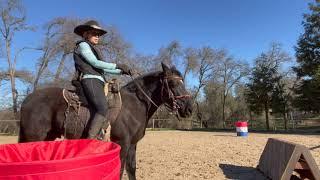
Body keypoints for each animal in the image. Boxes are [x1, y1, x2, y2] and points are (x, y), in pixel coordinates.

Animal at [19, 63, 192, 179]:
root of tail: (27, 100)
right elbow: (120, 169)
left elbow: (131, 169)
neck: (134, 104)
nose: (189, 108)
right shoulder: (122, 143)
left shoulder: (132, 144)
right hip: (34, 139)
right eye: (172, 83)